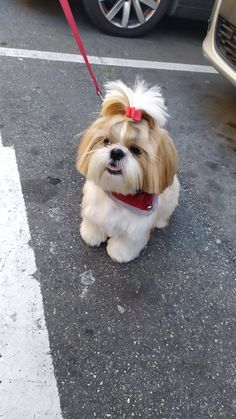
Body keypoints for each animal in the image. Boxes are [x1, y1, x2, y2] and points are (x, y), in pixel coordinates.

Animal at [76, 79, 180, 262]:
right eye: (107, 141)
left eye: (136, 150)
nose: (117, 152)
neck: (119, 195)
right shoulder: (93, 210)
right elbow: (93, 224)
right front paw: (91, 235)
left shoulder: (134, 231)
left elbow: (126, 244)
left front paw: (118, 254)